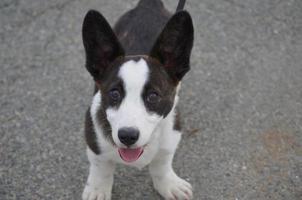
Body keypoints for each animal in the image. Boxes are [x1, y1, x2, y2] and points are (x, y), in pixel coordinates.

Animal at [81, 0, 193, 199]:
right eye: (114, 94)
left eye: (153, 96)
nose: (127, 136)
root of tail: (148, 4)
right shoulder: (94, 141)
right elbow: (101, 167)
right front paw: (98, 190)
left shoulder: (170, 137)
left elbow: (162, 163)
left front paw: (168, 184)